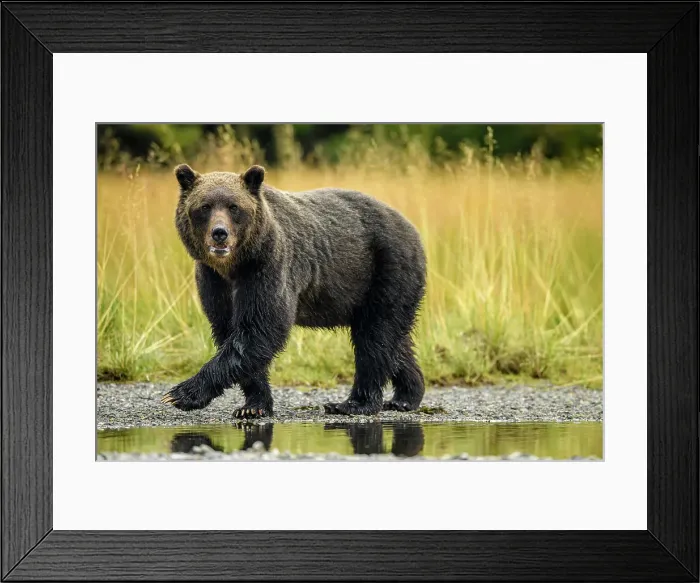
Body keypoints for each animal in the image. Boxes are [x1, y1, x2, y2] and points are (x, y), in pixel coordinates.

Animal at [161, 163, 426, 418]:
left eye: (234, 207)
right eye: (204, 206)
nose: (219, 234)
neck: (234, 266)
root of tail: (411, 227)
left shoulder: (268, 266)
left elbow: (261, 328)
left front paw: (180, 394)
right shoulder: (213, 280)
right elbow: (229, 329)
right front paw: (253, 405)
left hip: (386, 269)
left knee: (375, 337)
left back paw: (353, 403)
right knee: (393, 340)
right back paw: (406, 396)